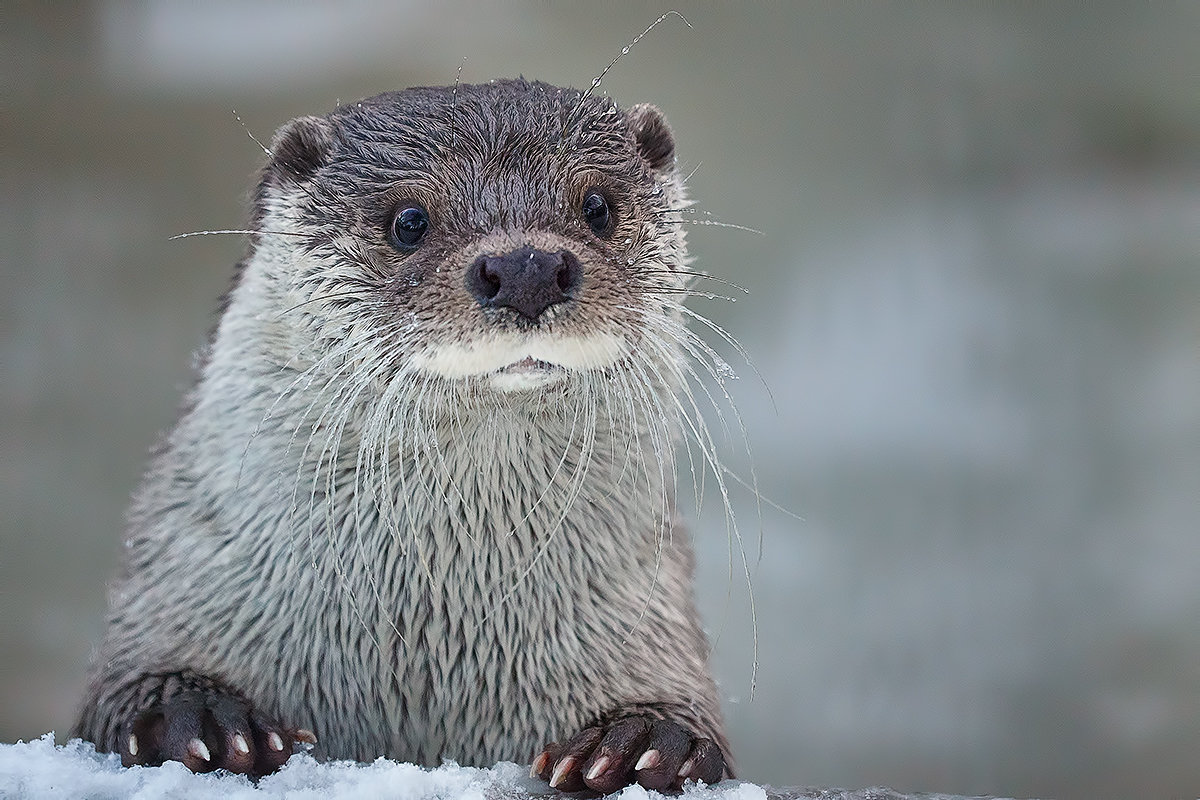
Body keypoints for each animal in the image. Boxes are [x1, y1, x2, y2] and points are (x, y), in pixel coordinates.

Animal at [77, 77, 729, 791]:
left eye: (598, 207)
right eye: (409, 221)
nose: (526, 267)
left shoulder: (660, 624)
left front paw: (644, 739)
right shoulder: (169, 575)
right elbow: (126, 696)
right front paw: (204, 722)